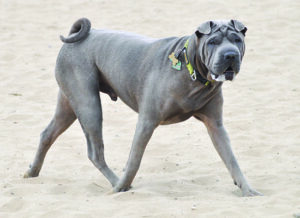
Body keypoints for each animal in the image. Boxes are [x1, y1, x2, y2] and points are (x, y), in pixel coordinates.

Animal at [24, 17, 262, 197]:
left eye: (237, 39)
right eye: (213, 41)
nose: (230, 55)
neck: (192, 71)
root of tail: (73, 40)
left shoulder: (216, 126)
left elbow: (231, 160)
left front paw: (248, 190)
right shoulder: (147, 121)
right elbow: (134, 161)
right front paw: (121, 186)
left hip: (69, 105)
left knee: (47, 134)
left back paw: (32, 172)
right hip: (88, 105)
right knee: (95, 152)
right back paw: (116, 183)